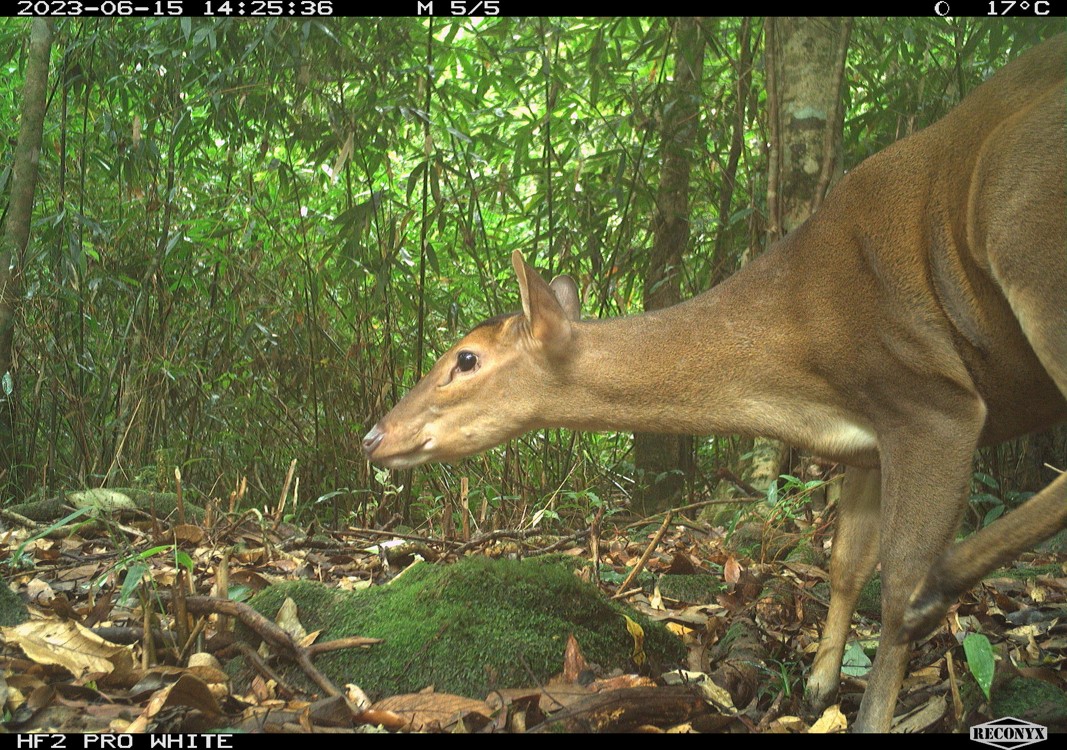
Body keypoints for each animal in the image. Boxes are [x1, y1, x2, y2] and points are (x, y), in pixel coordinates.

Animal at [362, 35, 1067, 733]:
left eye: (466, 359)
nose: (373, 436)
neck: (798, 358)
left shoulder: (933, 399)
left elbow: (895, 584)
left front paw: (870, 709)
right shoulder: (870, 439)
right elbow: (845, 563)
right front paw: (817, 688)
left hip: (1026, 232)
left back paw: (944, 584)